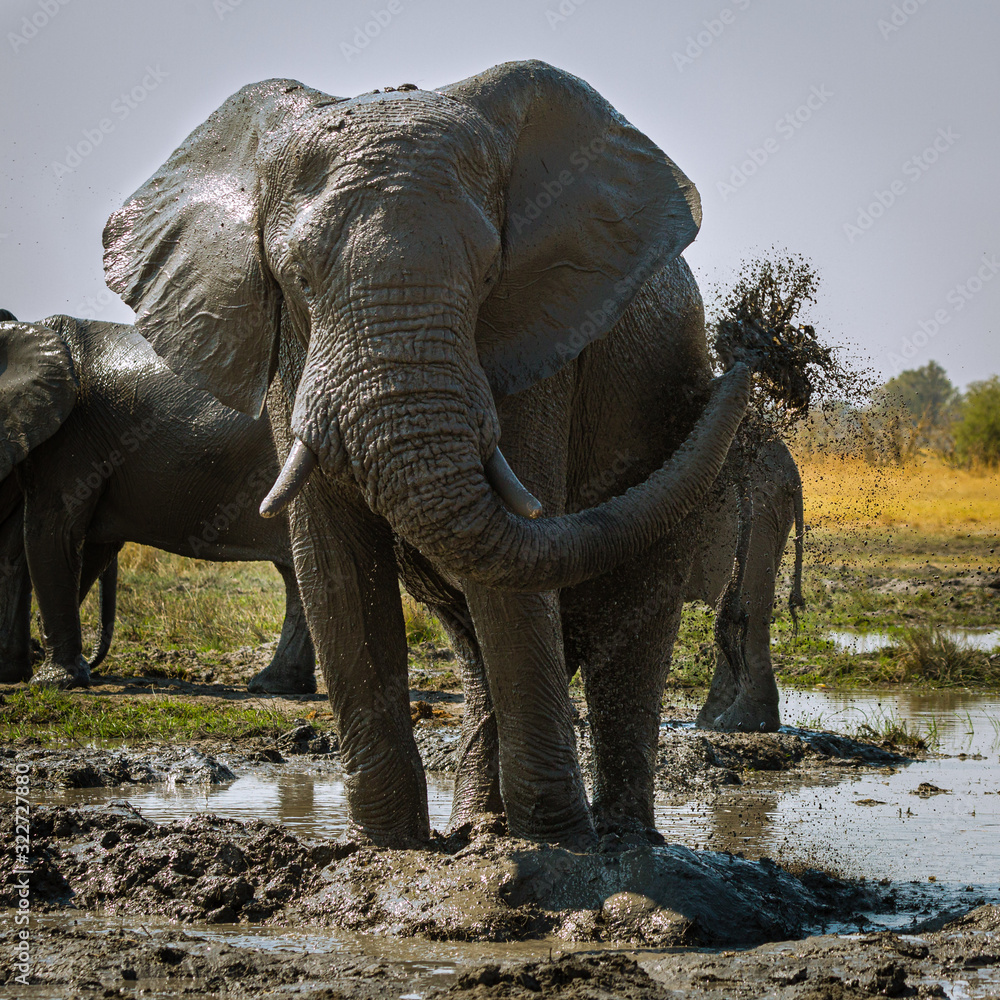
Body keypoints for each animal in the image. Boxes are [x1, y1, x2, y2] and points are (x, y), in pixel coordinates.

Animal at [0, 312, 315, 691]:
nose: (95, 662)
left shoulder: (70, 438)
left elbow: (52, 533)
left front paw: (52, 683)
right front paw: (19, 673)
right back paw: (276, 685)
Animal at [103, 60, 752, 848]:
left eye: (489, 273)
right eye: (298, 277)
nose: (753, 346)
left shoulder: (537, 341)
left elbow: (515, 556)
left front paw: (559, 843)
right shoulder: (289, 355)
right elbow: (333, 560)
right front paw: (392, 846)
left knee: (628, 634)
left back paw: (624, 841)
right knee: (475, 646)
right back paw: (477, 826)